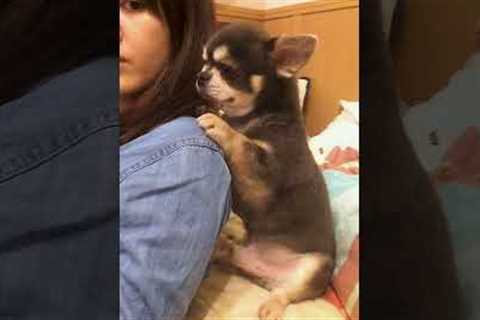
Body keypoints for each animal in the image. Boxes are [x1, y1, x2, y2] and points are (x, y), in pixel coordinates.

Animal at [197, 23, 336, 320]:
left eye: (228, 69)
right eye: (205, 62)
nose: (200, 76)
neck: (251, 118)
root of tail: (265, 276)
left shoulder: (263, 179)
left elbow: (243, 145)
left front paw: (218, 124)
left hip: (314, 268)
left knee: (286, 293)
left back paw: (271, 306)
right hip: (242, 255)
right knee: (232, 254)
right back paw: (220, 246)